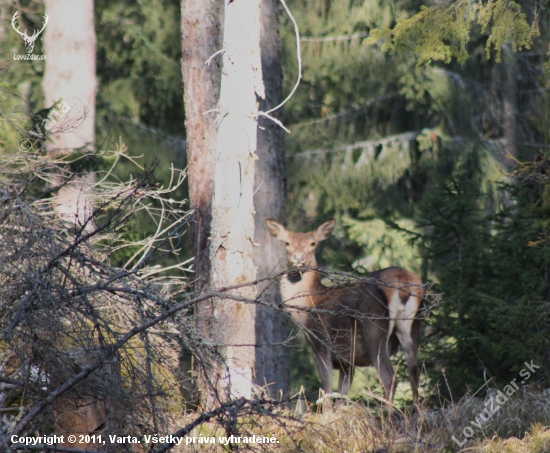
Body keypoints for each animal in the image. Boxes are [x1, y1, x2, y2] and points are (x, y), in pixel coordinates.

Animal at [266, 217, 424, 408]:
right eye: (287, 243)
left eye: (313, 243)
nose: (299, 257)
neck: (309, 302)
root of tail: (404, 282)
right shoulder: (347, 361)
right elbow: (342, 395)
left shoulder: (320, 343)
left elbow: (327, 391)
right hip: (413, 328)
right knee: (415, 376)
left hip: (374, 328)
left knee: (390, 378)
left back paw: (387, 413)